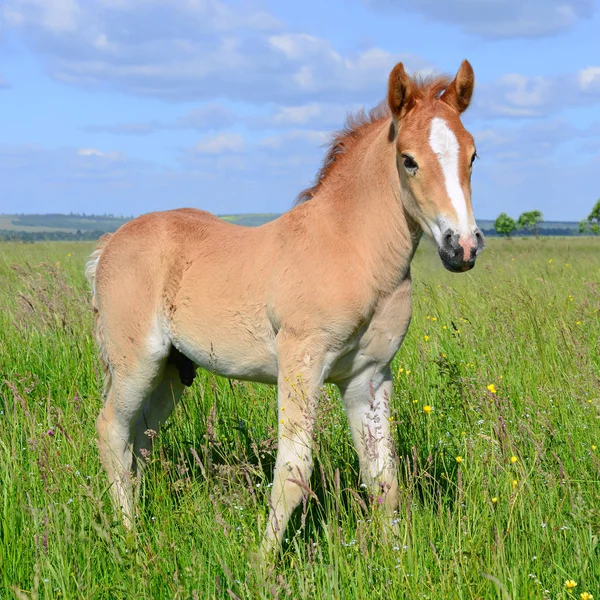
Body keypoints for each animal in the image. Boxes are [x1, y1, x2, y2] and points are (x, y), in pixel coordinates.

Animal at [88, 58, 482, 552]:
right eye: (408, 160)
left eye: (473, 156)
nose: (462, 247)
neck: (352, 250)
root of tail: (110, 243)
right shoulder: (300, 363)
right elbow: (293, 471)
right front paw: (260, 562)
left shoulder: (369, 378)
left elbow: (383, 476)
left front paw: (396, 556)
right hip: (136, 362)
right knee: (111, 431)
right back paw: (130, 533)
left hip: (173, 371)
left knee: (140, 437)